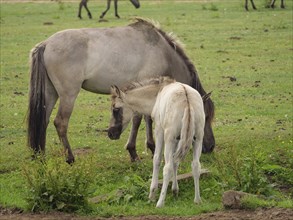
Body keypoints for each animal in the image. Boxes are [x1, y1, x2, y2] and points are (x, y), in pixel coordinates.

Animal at [27, 18, 214, 163]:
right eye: (205, 117)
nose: (210, 146)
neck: (162, 51)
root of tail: (46, 44)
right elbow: (141, 119)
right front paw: (139, 151)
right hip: (68, 95)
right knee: (60, 122)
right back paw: (70, 158)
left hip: (50, 93)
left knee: (43, 121)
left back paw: (40, 157)